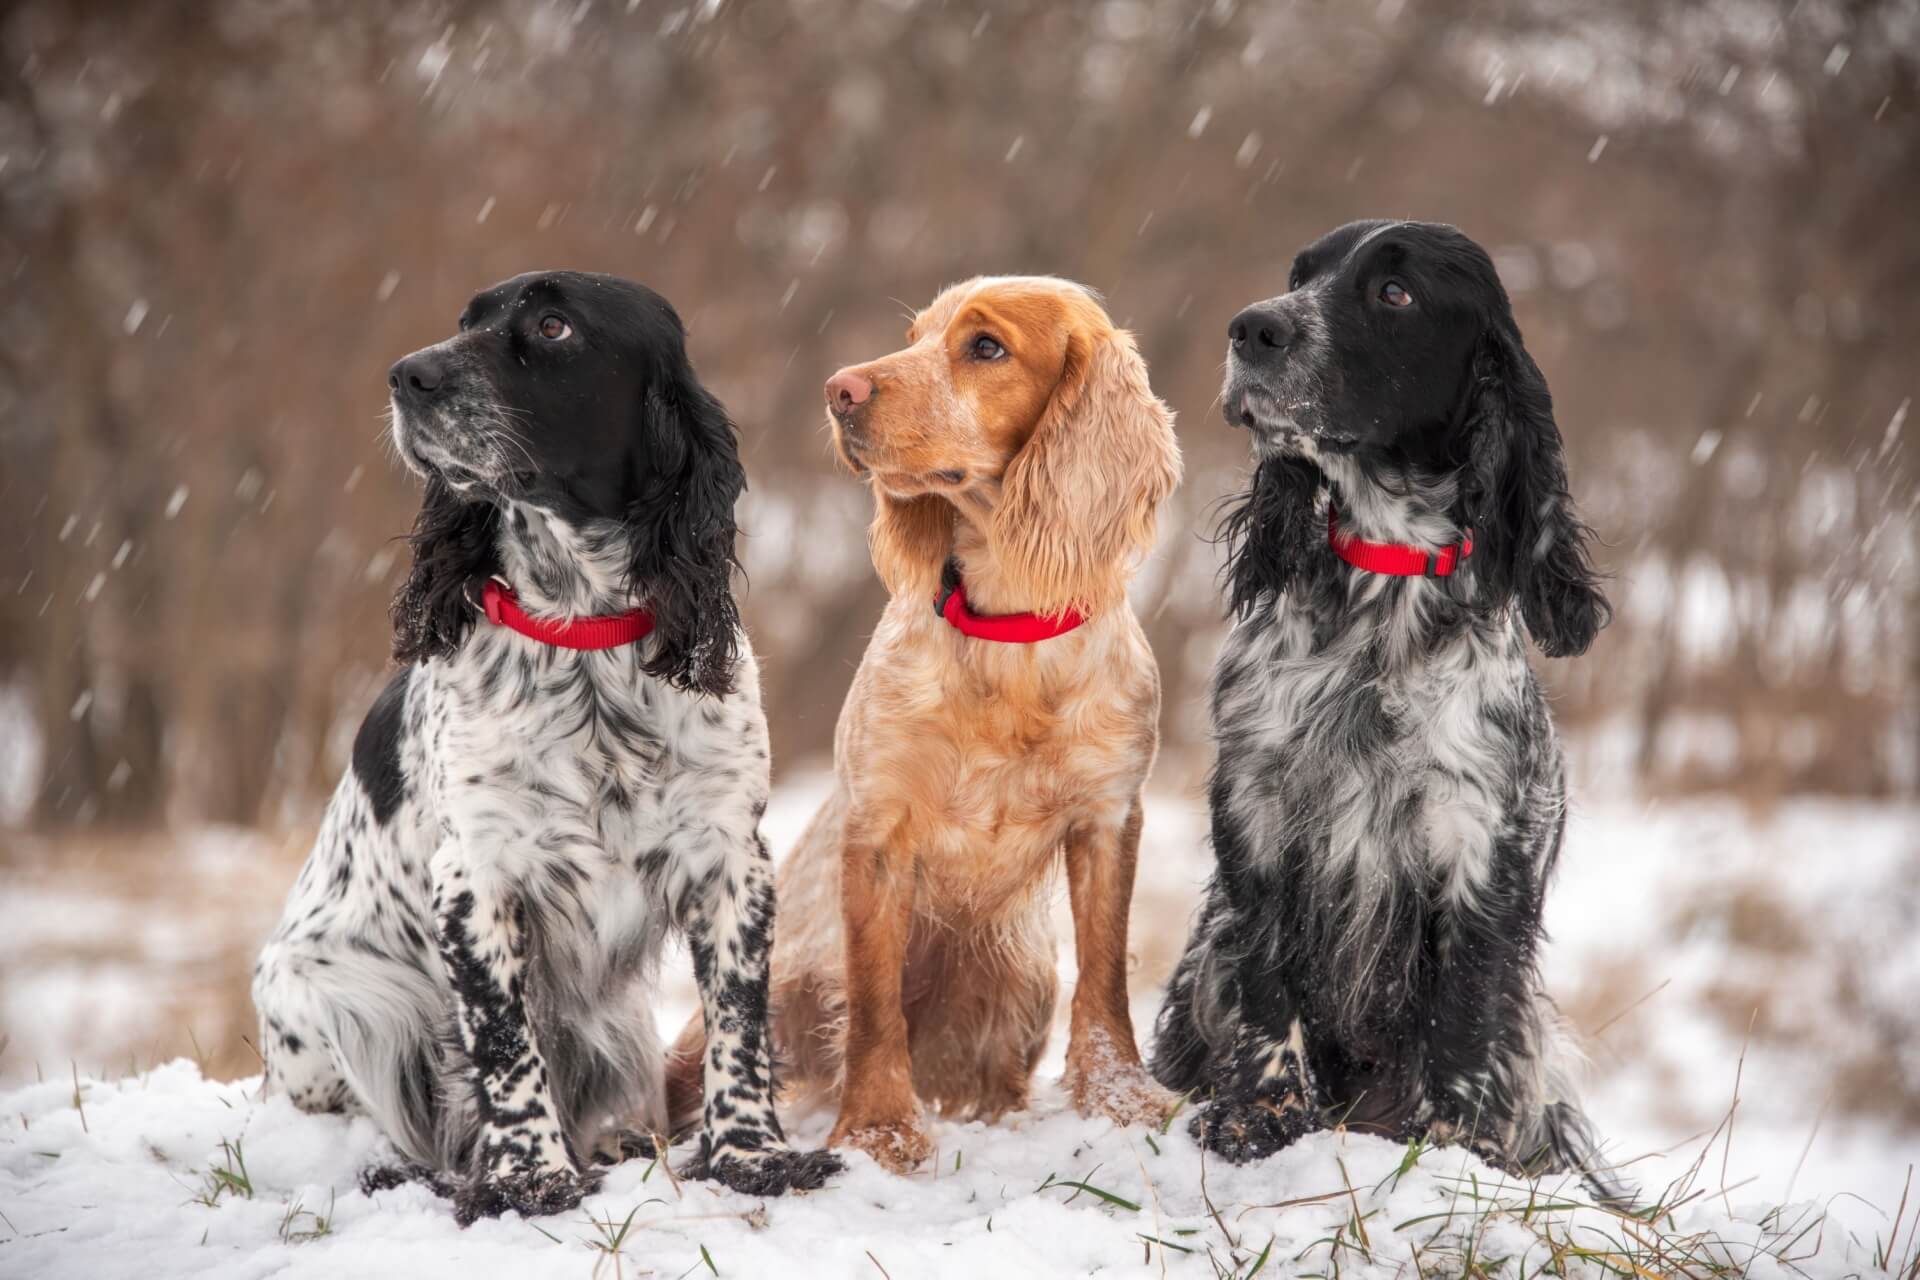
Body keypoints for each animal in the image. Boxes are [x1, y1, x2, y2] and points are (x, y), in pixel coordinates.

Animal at [251, 270, 837, 1220]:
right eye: (466, 321)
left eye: (553, 327)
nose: (406, 375)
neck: (584, 632)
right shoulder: (478, 877)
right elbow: (502, 1042)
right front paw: (529, 1177)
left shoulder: (730, 860)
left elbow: (739, 1023)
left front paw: (753, 1154)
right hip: (328, 1001)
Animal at [675, 280, 1182, 1174]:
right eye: (913, 336)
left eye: (985, 347)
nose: (839, 390)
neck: (1008, 631)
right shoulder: (879, 830)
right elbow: (875, 1004)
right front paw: (878, 1130)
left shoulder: (1109, 818)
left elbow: (1104, 980)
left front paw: (1120, 1099)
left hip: (1021, 982)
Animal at [1144, 220, 1628, 1205]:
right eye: (1300, 275)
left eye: (1395, 294)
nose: (1251, 329)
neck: (1380, 591)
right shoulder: (1257, 818)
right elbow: (1268, 990)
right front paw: (1259, 1121)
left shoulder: (1482, 845)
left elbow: (1464, 1019)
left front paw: (1447, 1152)